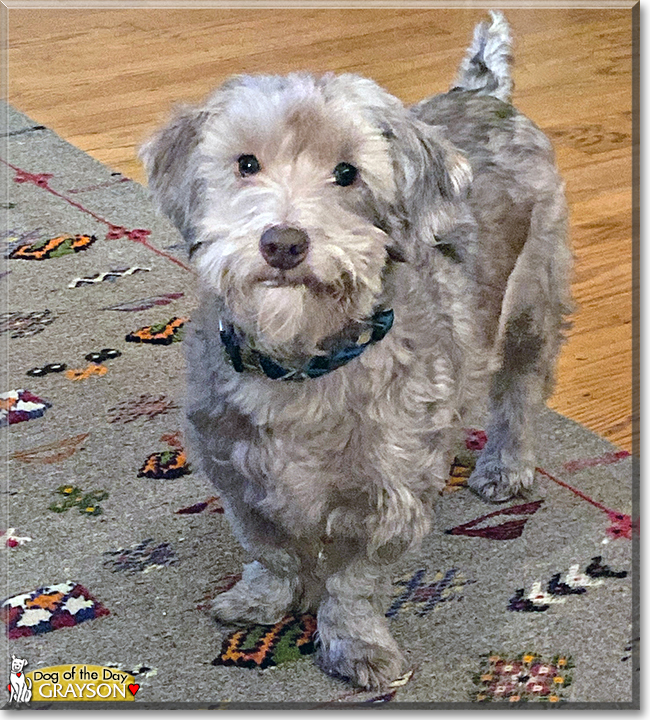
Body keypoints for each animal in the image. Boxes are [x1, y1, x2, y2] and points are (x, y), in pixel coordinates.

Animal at [143, 11, 572, 692]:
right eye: (246, 163)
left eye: (347, 173)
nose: (283, 242)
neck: (299, 363)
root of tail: (483, 94)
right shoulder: (234, 473)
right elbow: (270, 549)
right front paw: (263, 599)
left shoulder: (391, 493)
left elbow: (353, 584)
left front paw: (355, 647)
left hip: (534, 305)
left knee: (519, 395)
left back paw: (505, 465)